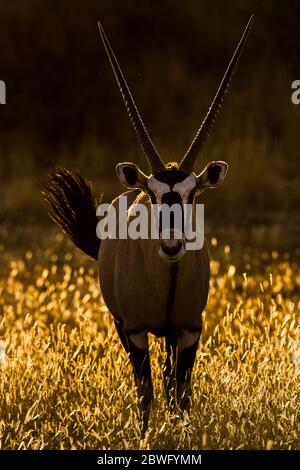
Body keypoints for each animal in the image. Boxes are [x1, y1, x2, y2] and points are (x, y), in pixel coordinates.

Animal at [43, 17, 252, 434]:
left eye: (192, 194)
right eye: (154, 195)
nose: (171, 246)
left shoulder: (189, 328)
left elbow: (181, 394)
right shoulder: (136, 330)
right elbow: (146, 392)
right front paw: (143, 435)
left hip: (169, 334)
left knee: (171, 380)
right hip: (123, 325)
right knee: (153, 383)